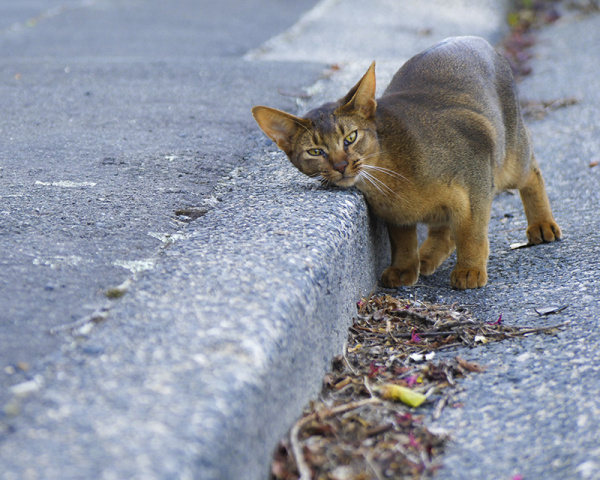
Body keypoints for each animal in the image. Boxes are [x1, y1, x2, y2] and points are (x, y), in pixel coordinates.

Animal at [252, 35, 564, 288]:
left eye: (350, 137)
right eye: (315, 152)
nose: (340, 166)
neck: (390, 177)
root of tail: (477, 40)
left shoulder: (476, 172)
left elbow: (471, 231)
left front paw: (470, 269)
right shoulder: (395, 214)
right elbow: (402, 240)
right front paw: (404, 268)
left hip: (510, 158)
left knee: (533, 172)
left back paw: (542, 225)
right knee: (444, 230)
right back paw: (426, 257)